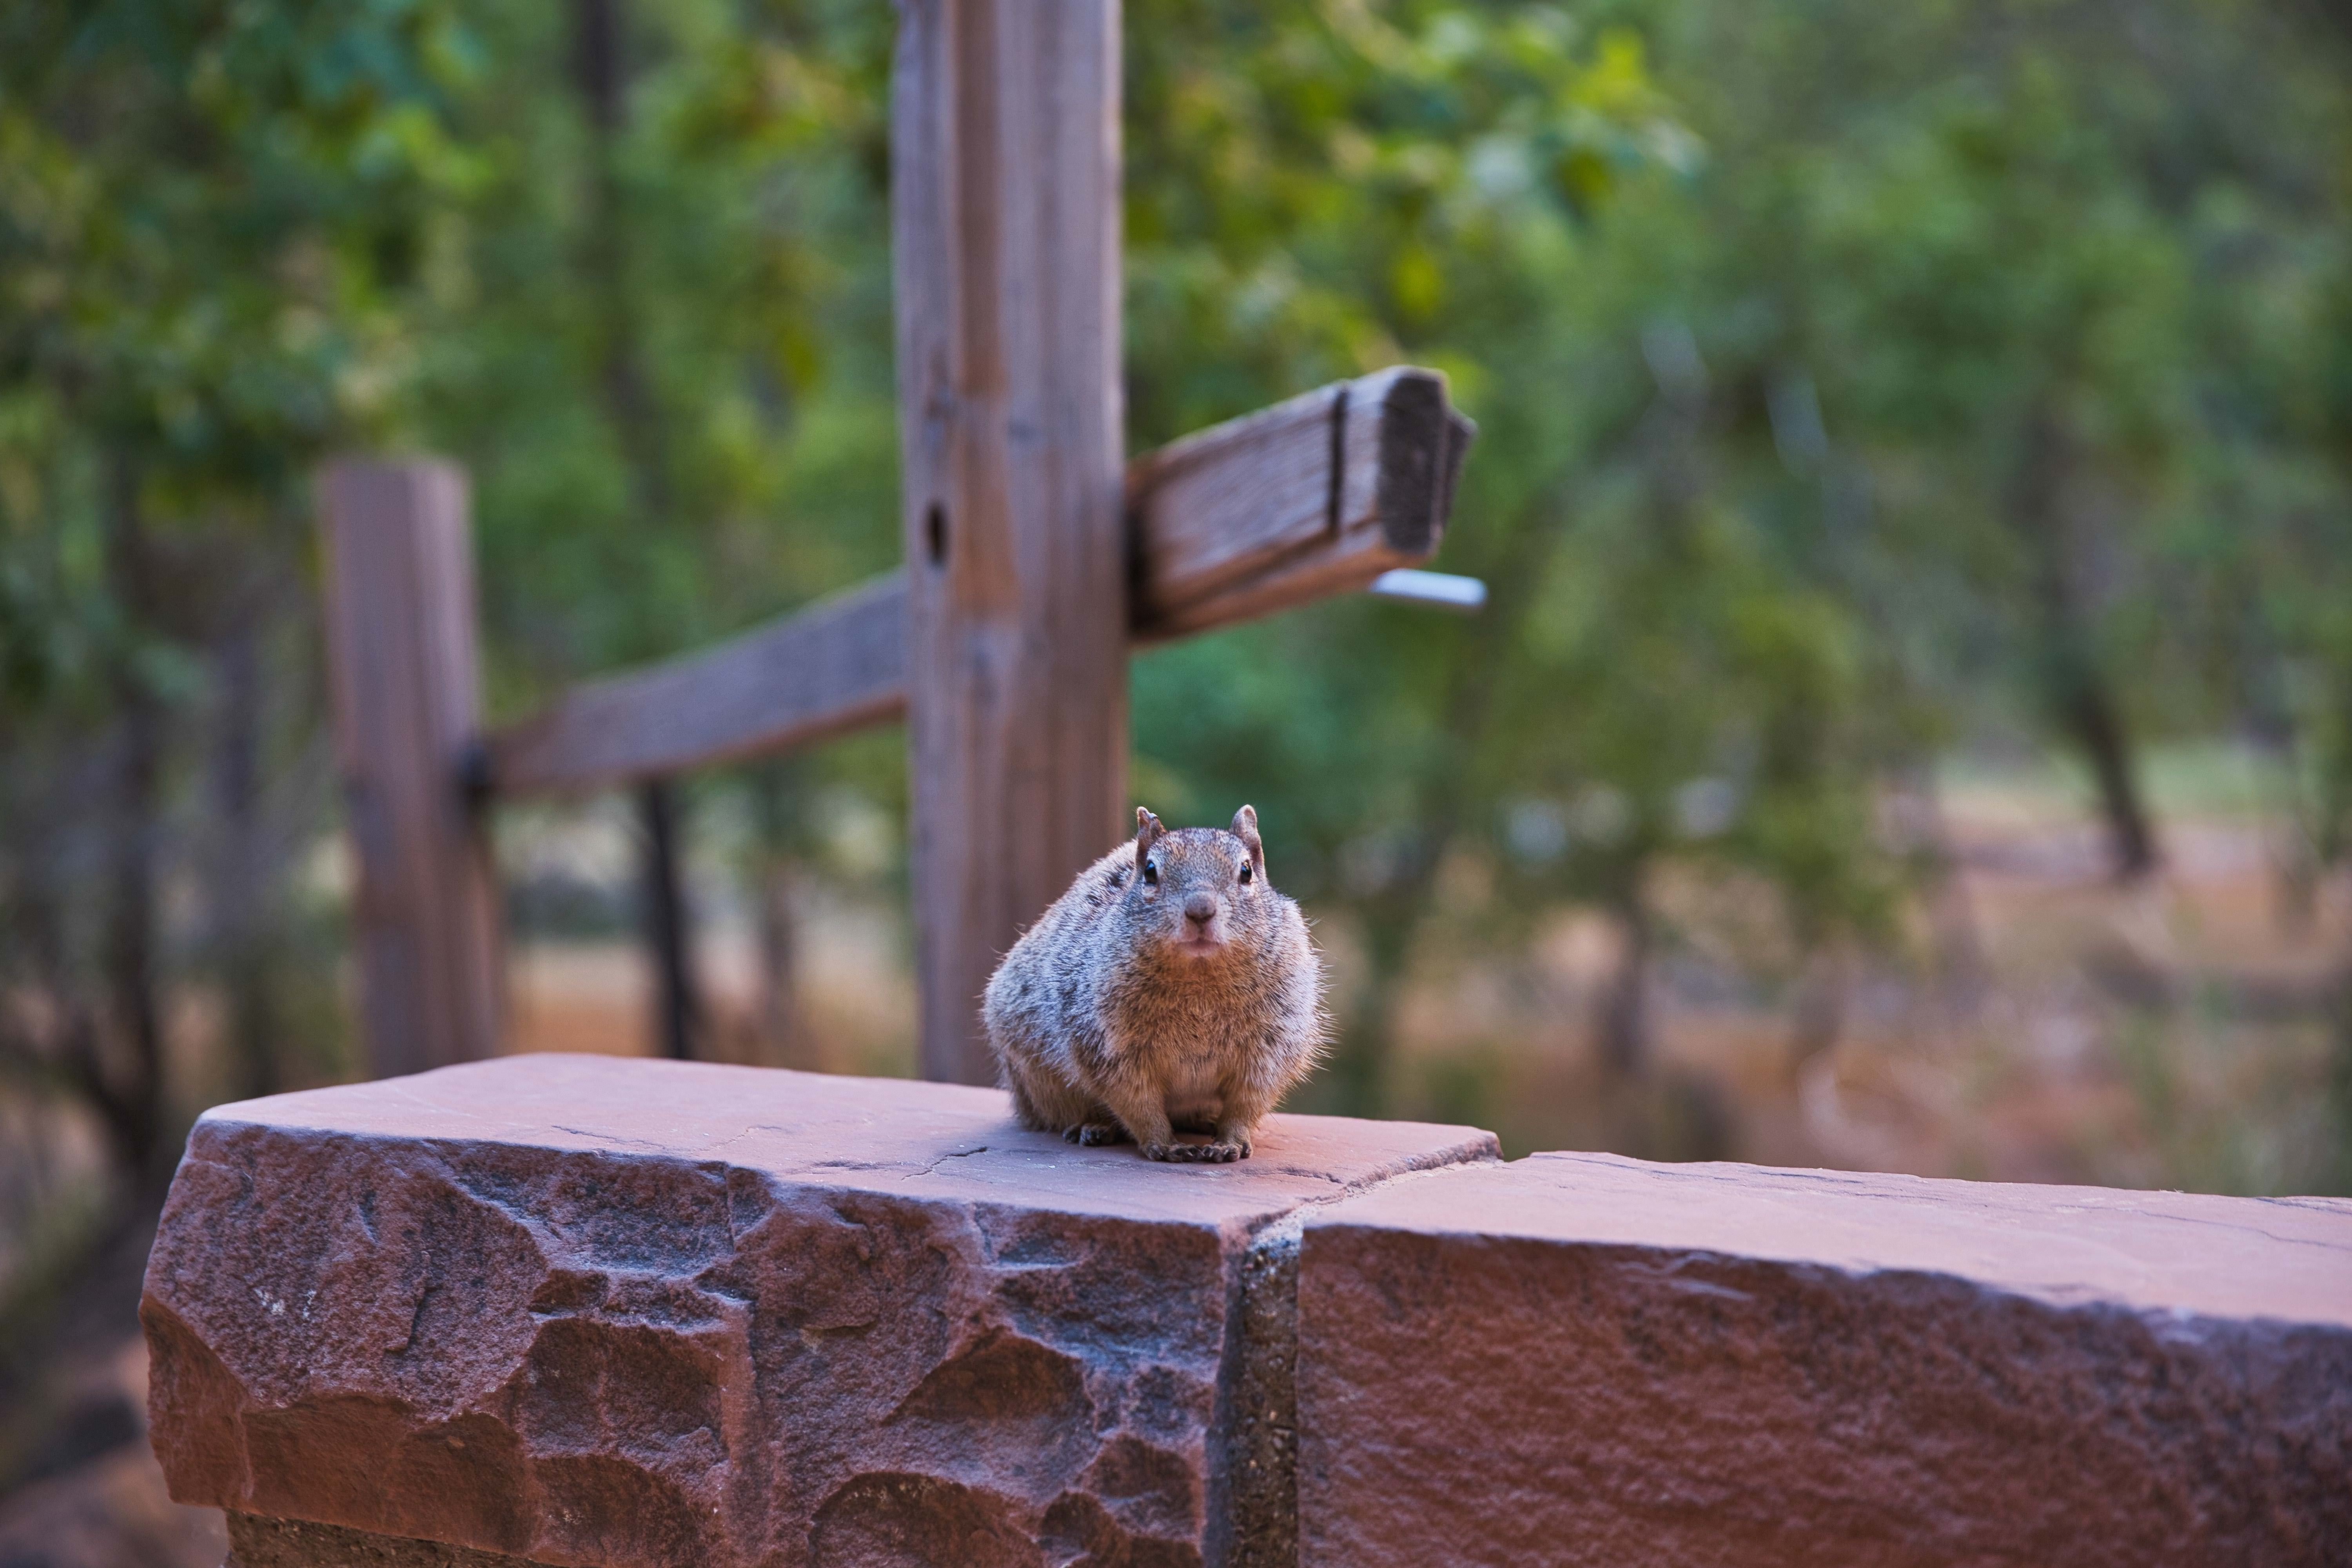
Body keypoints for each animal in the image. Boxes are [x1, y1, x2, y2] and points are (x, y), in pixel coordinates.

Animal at [978, 808, 1327, 1166]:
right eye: (1150, 872)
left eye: (1246, 871)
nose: (1200, 910)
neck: (1200, 979)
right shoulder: (1110, 1047)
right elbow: (1138, 1103)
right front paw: (1164, 1144)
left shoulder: (1270, 1048)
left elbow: (1247, 1102)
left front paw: (1229, 1142)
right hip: (1039, 1082)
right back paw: (1092, 1127)